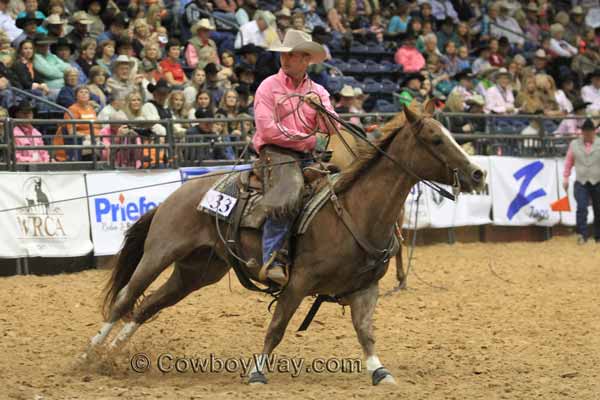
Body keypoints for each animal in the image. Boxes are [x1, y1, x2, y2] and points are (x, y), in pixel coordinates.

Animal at [86, 100, 486, 384]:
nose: (478, 173)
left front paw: (379, 371)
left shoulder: (365, 287)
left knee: (148, 306)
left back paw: (112, 356)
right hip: (160, 253)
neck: (355, 210)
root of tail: (178, 193)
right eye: (436, 139)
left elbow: (365, 332)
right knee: (125, 299)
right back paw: (89, 356)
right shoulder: (298, 282)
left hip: (196, 272)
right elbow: (277, 327)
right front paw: (257, 372)